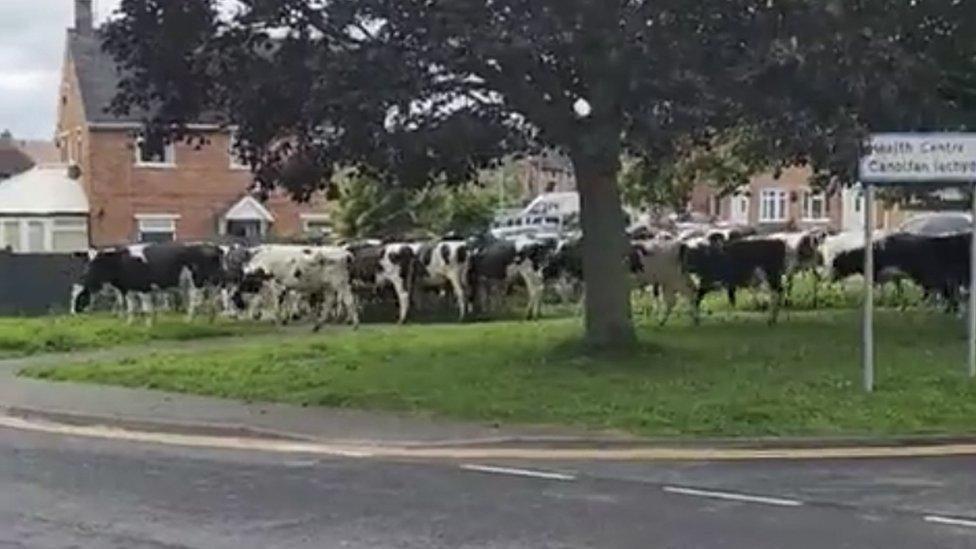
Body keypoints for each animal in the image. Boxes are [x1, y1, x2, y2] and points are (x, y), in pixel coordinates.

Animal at [72, 242, 225, 324]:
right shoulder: (129, 290)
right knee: (214, 301)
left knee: (195, 302)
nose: (83, 276)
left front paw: (148, 325)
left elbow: (146, 309)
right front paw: (129, 323)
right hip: (213, 283)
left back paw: (188, 321)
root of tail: (213, 247)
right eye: (88, 262)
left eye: (96, 264)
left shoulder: (143, 288)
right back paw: (211, 321)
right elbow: (131, 307)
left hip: (196, 284)